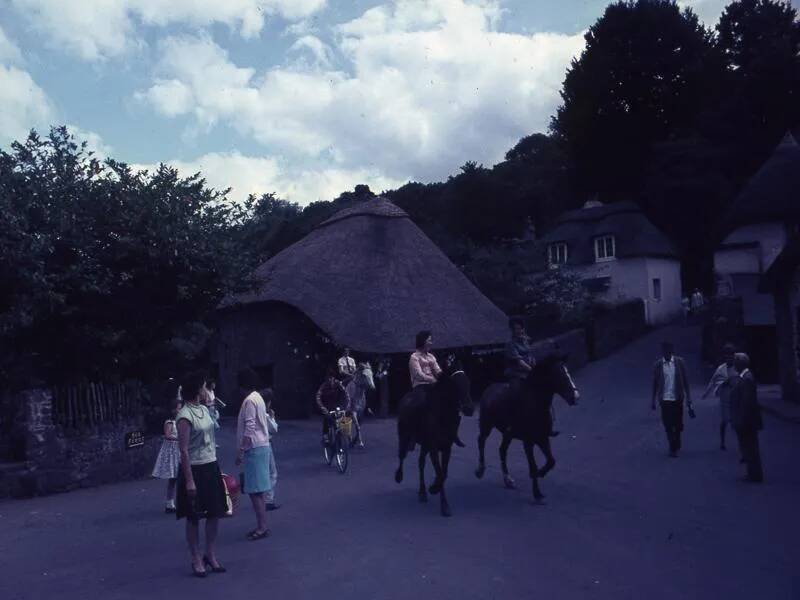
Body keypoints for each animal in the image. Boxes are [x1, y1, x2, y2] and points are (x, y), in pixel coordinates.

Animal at [396, 364, 476, 516]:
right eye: (454, 385)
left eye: (468, 382)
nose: (469, 409)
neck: (442, 414)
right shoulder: (433, 447)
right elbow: (439, 472)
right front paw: (443, 504)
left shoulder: (446, 448)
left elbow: (443, 473)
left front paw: (434, 488)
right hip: (404, 436)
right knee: (401, 456)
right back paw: (399, 476)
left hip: (424, 445)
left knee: (421, 462)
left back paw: (422, 492)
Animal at [472, 354, 580, 504]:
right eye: (560, 375)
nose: (575, 397)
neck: (535, 404)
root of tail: (489, 388)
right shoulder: (528, 442)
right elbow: (533, 466)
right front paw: (537, 493)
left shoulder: (543, 438)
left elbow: (551, 461)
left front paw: (541, 473)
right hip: (486, 426)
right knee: (481, 441)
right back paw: (480, 470)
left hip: (508, 434)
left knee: (502, 450)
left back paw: (508, 480)